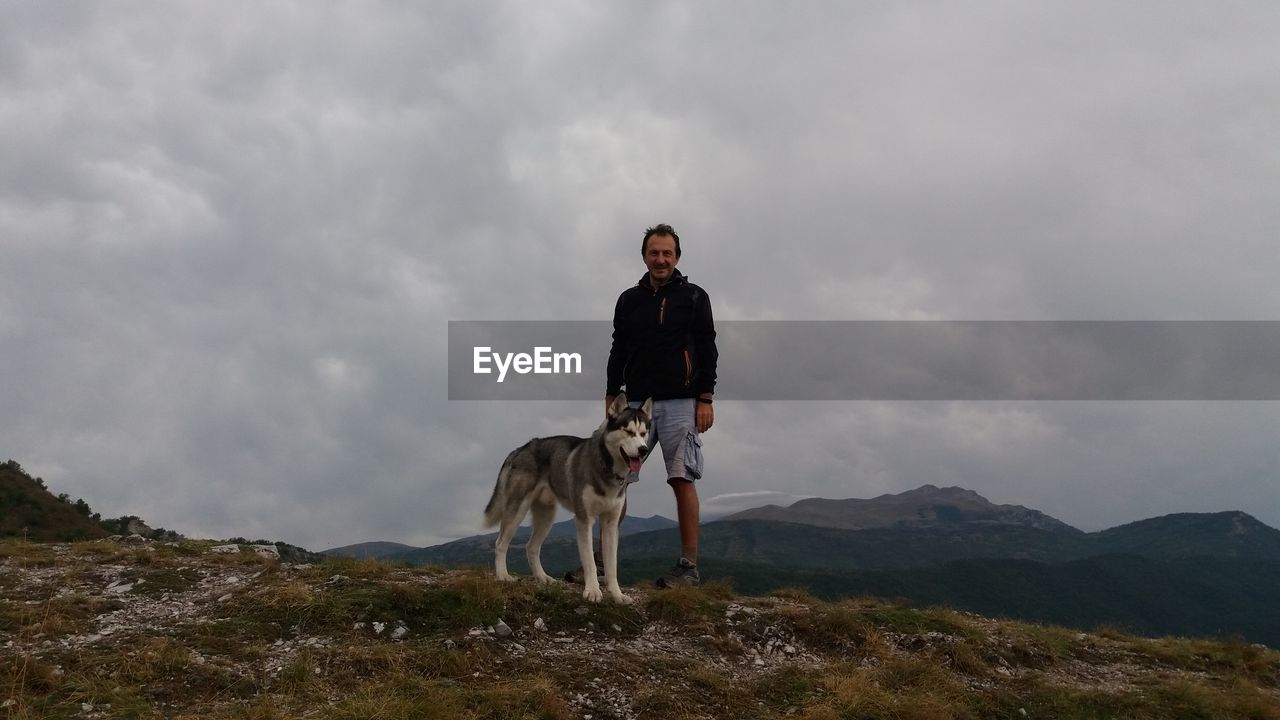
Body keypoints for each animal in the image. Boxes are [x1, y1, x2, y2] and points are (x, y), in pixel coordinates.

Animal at [483, 392, 655, 599]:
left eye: (644, 433)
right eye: (628, 432)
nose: (643, 450)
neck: (606, 468)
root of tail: (520, 449)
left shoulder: (611, 523)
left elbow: (611, 566)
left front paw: (617, 595)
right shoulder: (584, 519)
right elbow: (589, 561)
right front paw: (593, 591)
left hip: (546, 516)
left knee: (531, 547)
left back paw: (543, 577)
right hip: (517, 510)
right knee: (500, 543)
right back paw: (503, 575)